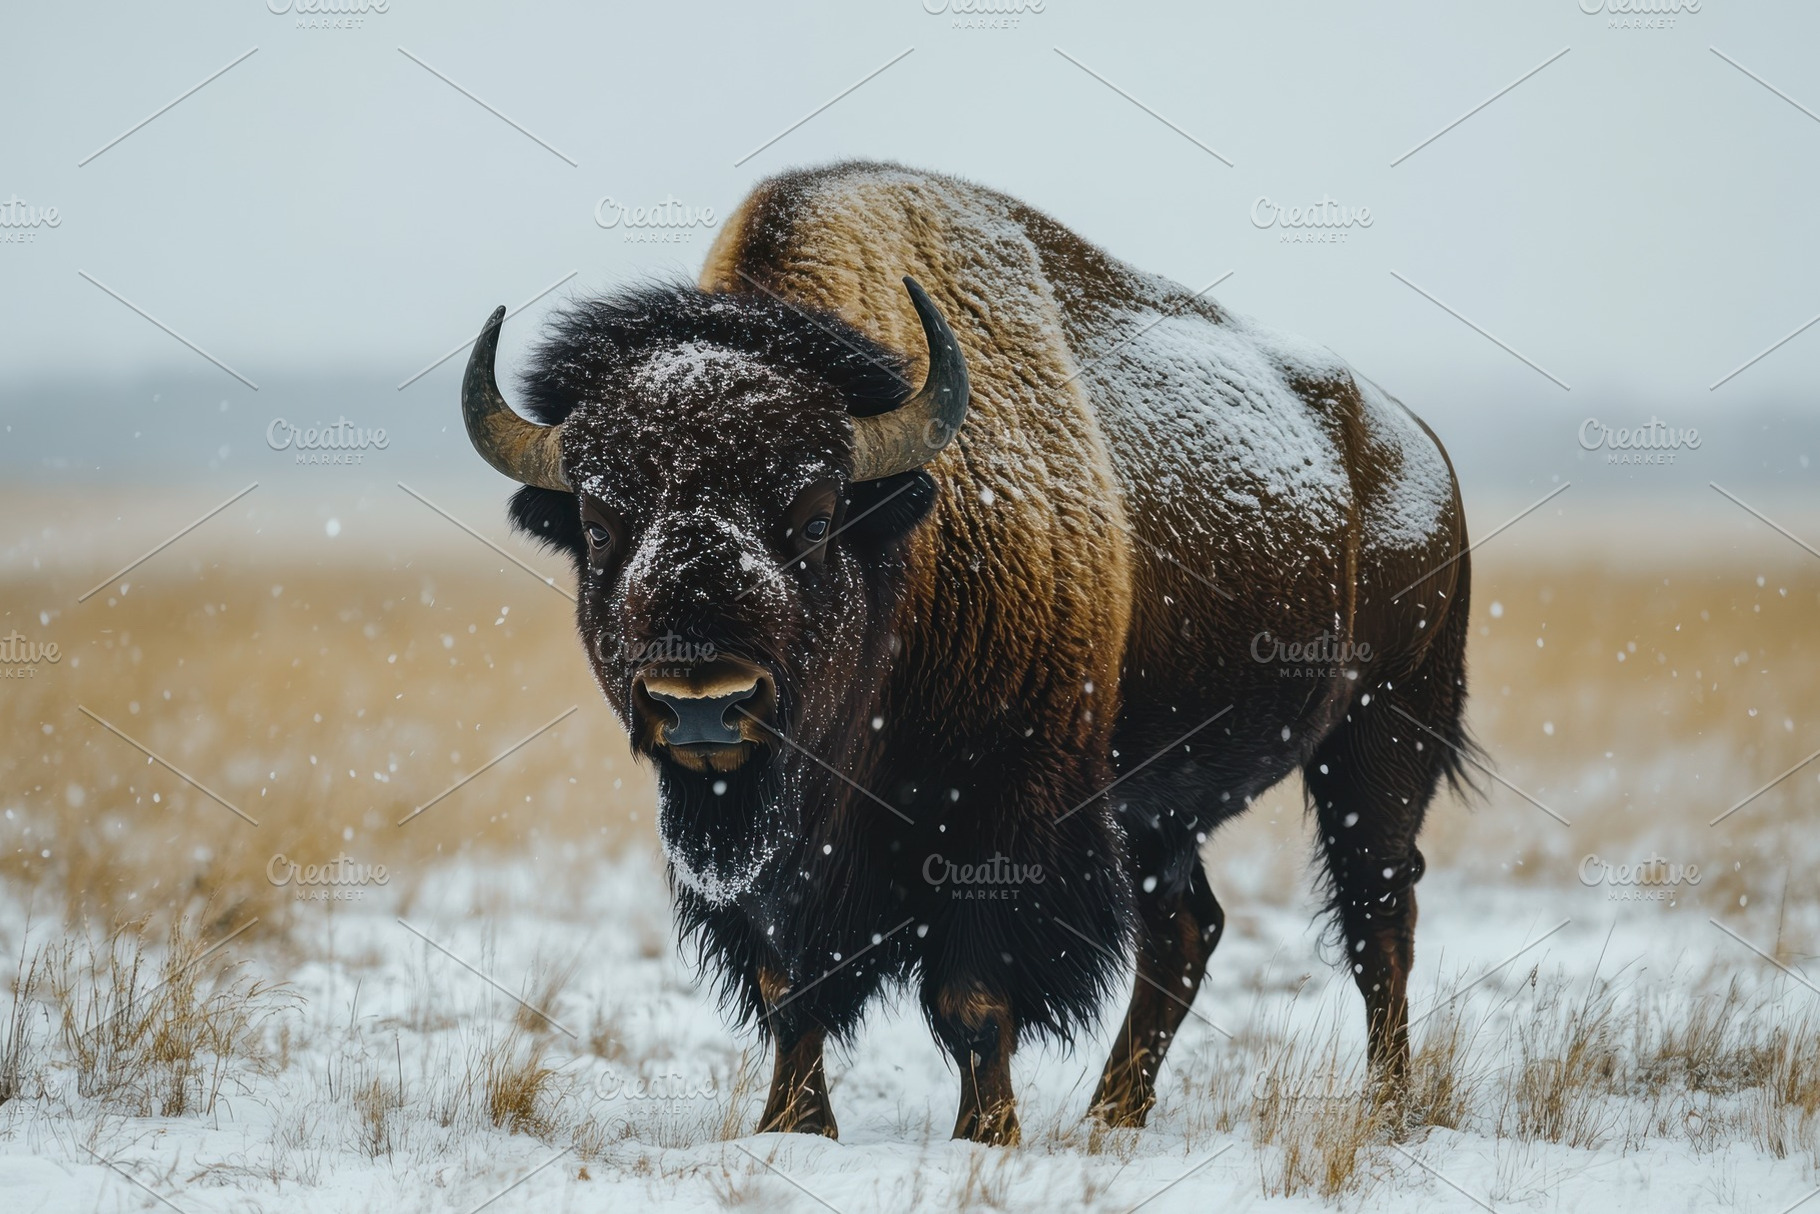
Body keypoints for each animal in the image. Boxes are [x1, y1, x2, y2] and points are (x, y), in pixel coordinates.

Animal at [459, 162, 1473, 1143]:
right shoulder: (780, 861)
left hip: (1381, 738)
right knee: (1188, 931)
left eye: (817, 516)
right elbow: (790, 994)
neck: (904, 540)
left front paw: (987, 1135)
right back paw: (1113, 1114)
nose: (703, 702)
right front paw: (793, 1127)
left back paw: (1386, 1111)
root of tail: (1424, 451)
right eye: (599, 524)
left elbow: (972, 998)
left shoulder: (1008, 810)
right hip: (1161, 807)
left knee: (1379, 920)